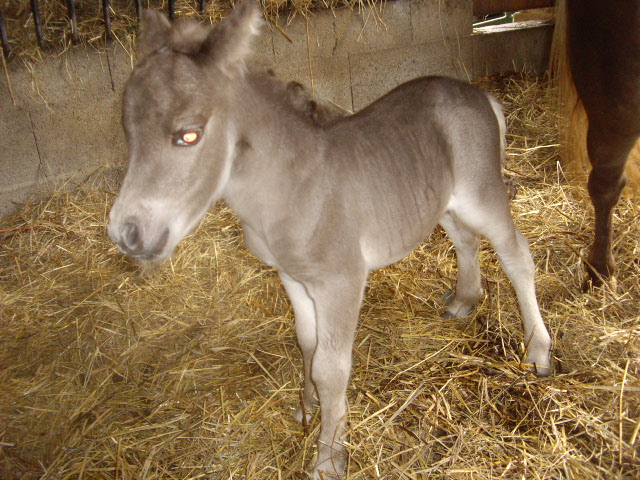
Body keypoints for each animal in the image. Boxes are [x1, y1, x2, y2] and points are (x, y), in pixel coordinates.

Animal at [109, 2, 552, 476]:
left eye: (189, 134)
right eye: (128, 131)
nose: (126, 233)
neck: (291, 188)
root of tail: (481, 96)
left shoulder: (341, 282)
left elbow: (331, 367)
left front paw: (329, 455)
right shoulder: (292, 277)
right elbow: (307, 342)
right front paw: (306, 408)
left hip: (480, 194)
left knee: (517, 255)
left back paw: (538, 351)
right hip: (442, 203)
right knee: (465, 241)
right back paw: (465, 300)